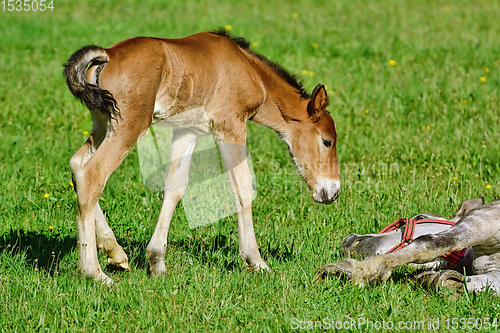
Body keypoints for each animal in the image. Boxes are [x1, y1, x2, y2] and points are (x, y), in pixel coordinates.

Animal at [64, 29, 342, 282]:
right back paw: (94, 273)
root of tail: (107, 54)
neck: (249, 70)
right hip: (130, 125)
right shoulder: (228, 125)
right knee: (93, 174)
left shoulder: (187, 131)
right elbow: (242, 186)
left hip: (103, 123)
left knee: (77, 165)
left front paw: (157, 263)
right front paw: (256, 261)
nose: (333, 192)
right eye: (327, 141)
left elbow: (175, 186)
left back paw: (115, 253)